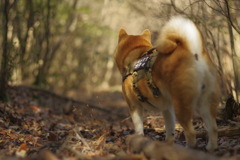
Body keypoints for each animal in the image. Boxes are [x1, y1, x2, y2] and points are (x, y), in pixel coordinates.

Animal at [115, 16, 220, 151]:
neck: (135, 56)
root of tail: (193, 52)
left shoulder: (134, 106)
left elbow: (139, 128)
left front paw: (138, 140)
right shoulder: (167, 108)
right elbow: (170, 129)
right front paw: (168, 144)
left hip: (181, 105)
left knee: (191, 132)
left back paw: (189, 149)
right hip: (206, 103)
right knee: (213, 128)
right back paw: (210, 148)